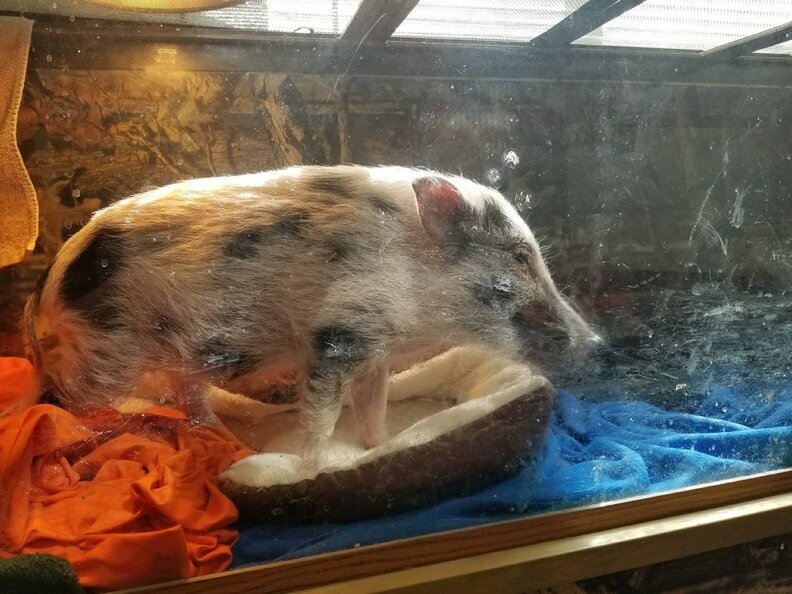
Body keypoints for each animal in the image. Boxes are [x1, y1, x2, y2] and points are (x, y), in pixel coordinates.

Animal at [26, 165, 599, 461]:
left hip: (180, 353)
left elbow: (372, 406)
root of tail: (47, 283)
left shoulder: (376, 351)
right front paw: (312, 465)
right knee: (65, 396)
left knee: (190, 397)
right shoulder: (338, 331)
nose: (595, 341)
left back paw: (227, 441)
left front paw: (382, 446)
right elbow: (321, 414)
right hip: (107, 349)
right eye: (519, 257)